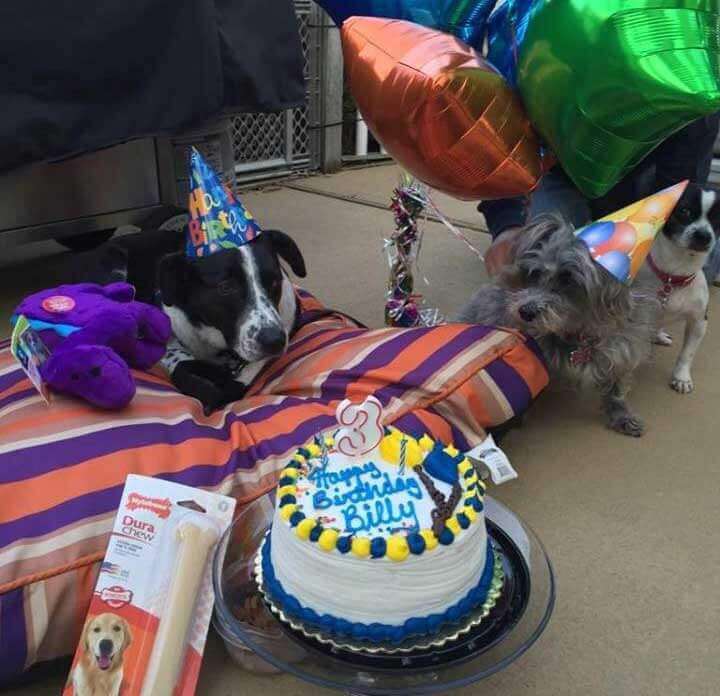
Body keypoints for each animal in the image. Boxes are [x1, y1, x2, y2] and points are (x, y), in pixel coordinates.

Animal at [462, 215, 660, 438]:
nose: (525, 312)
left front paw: (620, 414)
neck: (581, 332)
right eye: (535, 273)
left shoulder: (622, 351)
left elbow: (615, 387)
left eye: (567, 278)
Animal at [640, 182, 716, 394]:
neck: (674, 276)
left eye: (718, 217)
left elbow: (687, 354)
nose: (703, 235)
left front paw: (681, 377)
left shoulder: (699, 322)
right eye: (684, 211)